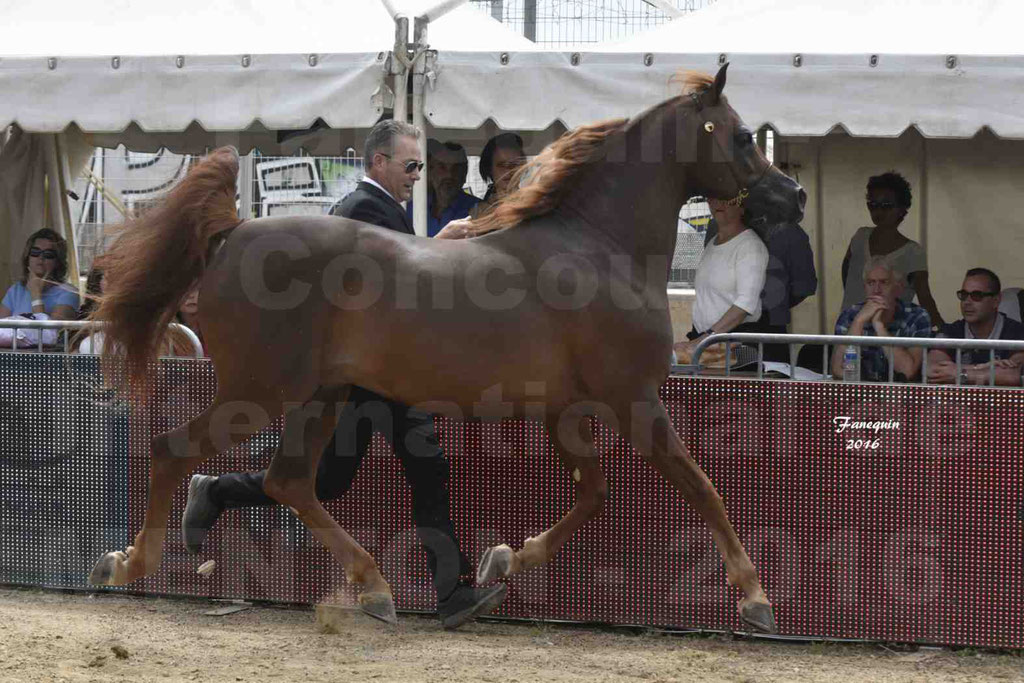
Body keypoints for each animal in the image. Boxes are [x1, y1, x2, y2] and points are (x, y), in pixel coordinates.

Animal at [88, 66, 802, 634]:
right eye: (743, 135)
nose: (791, 197)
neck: (598, 248)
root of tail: (232, 232)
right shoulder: (635, 400)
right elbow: (702, 488)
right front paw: (757, 601)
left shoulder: (568, 409)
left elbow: (594, 495)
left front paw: (501, 561)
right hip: (258, 390)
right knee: (175, 450)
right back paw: (129, 564)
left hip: (320, 396)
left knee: (285, 480)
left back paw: (373, 587)